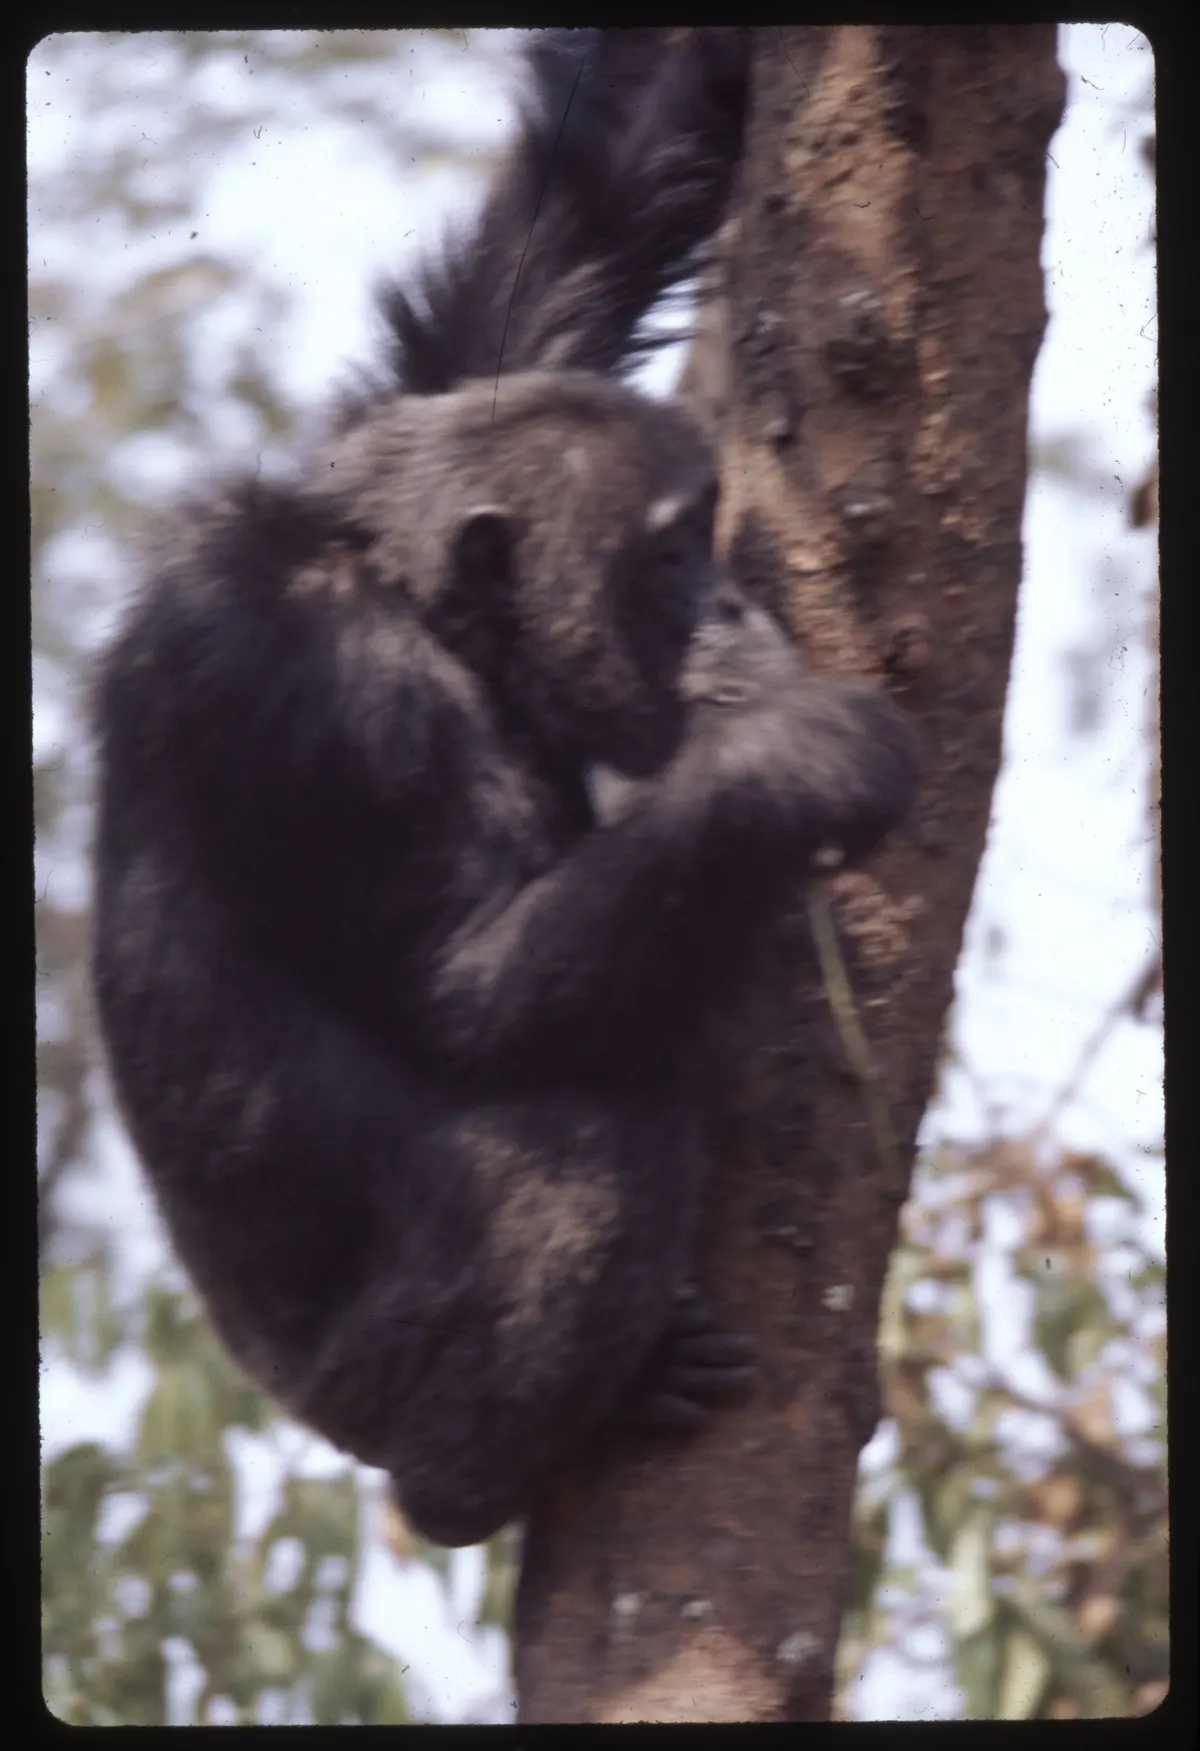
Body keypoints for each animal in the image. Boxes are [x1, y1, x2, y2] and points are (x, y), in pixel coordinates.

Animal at [90, 29, 918, 1548]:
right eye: (667, 553)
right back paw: (489, 1467)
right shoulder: (320, 684)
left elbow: (602, 191)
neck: (426, 609)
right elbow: (462, 989)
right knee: (584, 1143)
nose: (726, 600)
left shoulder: (462, 377)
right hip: (359, 1381)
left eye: (701, 535)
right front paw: (798, 758)